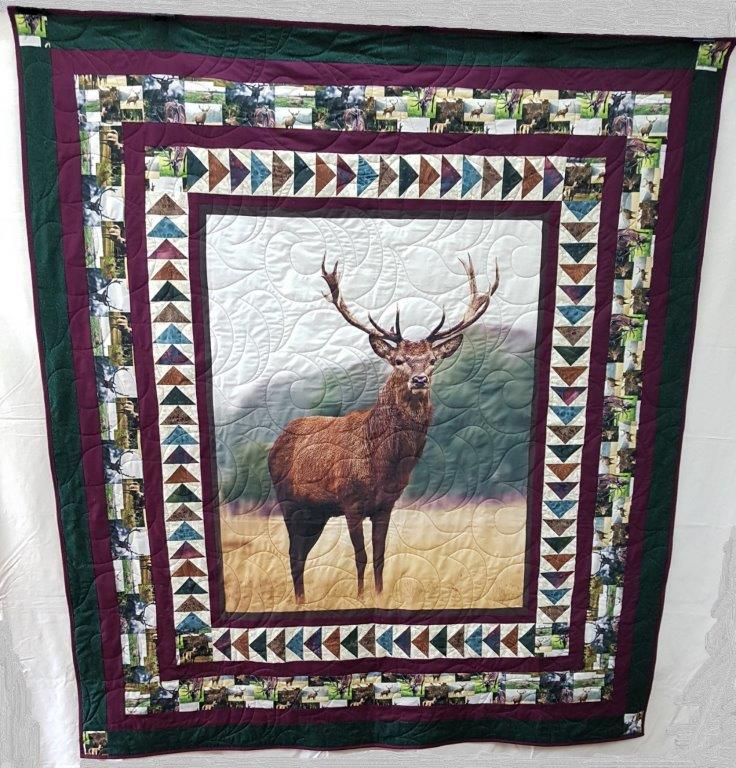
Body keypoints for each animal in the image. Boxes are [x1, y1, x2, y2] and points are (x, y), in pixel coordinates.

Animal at [267, 255, 500, 605]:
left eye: (432, 360)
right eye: (400, 360)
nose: (419, 379)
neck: (381, 464)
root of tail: (276, 443)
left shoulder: (385, 506)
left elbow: (380, 555)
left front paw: (378, 595)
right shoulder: (350, 502)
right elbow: (360, 556)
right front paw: (361, 597)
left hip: (316, 511)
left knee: (302, 553)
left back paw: (302, 599)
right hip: (288, 501)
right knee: (294, 553)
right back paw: (299, 601)